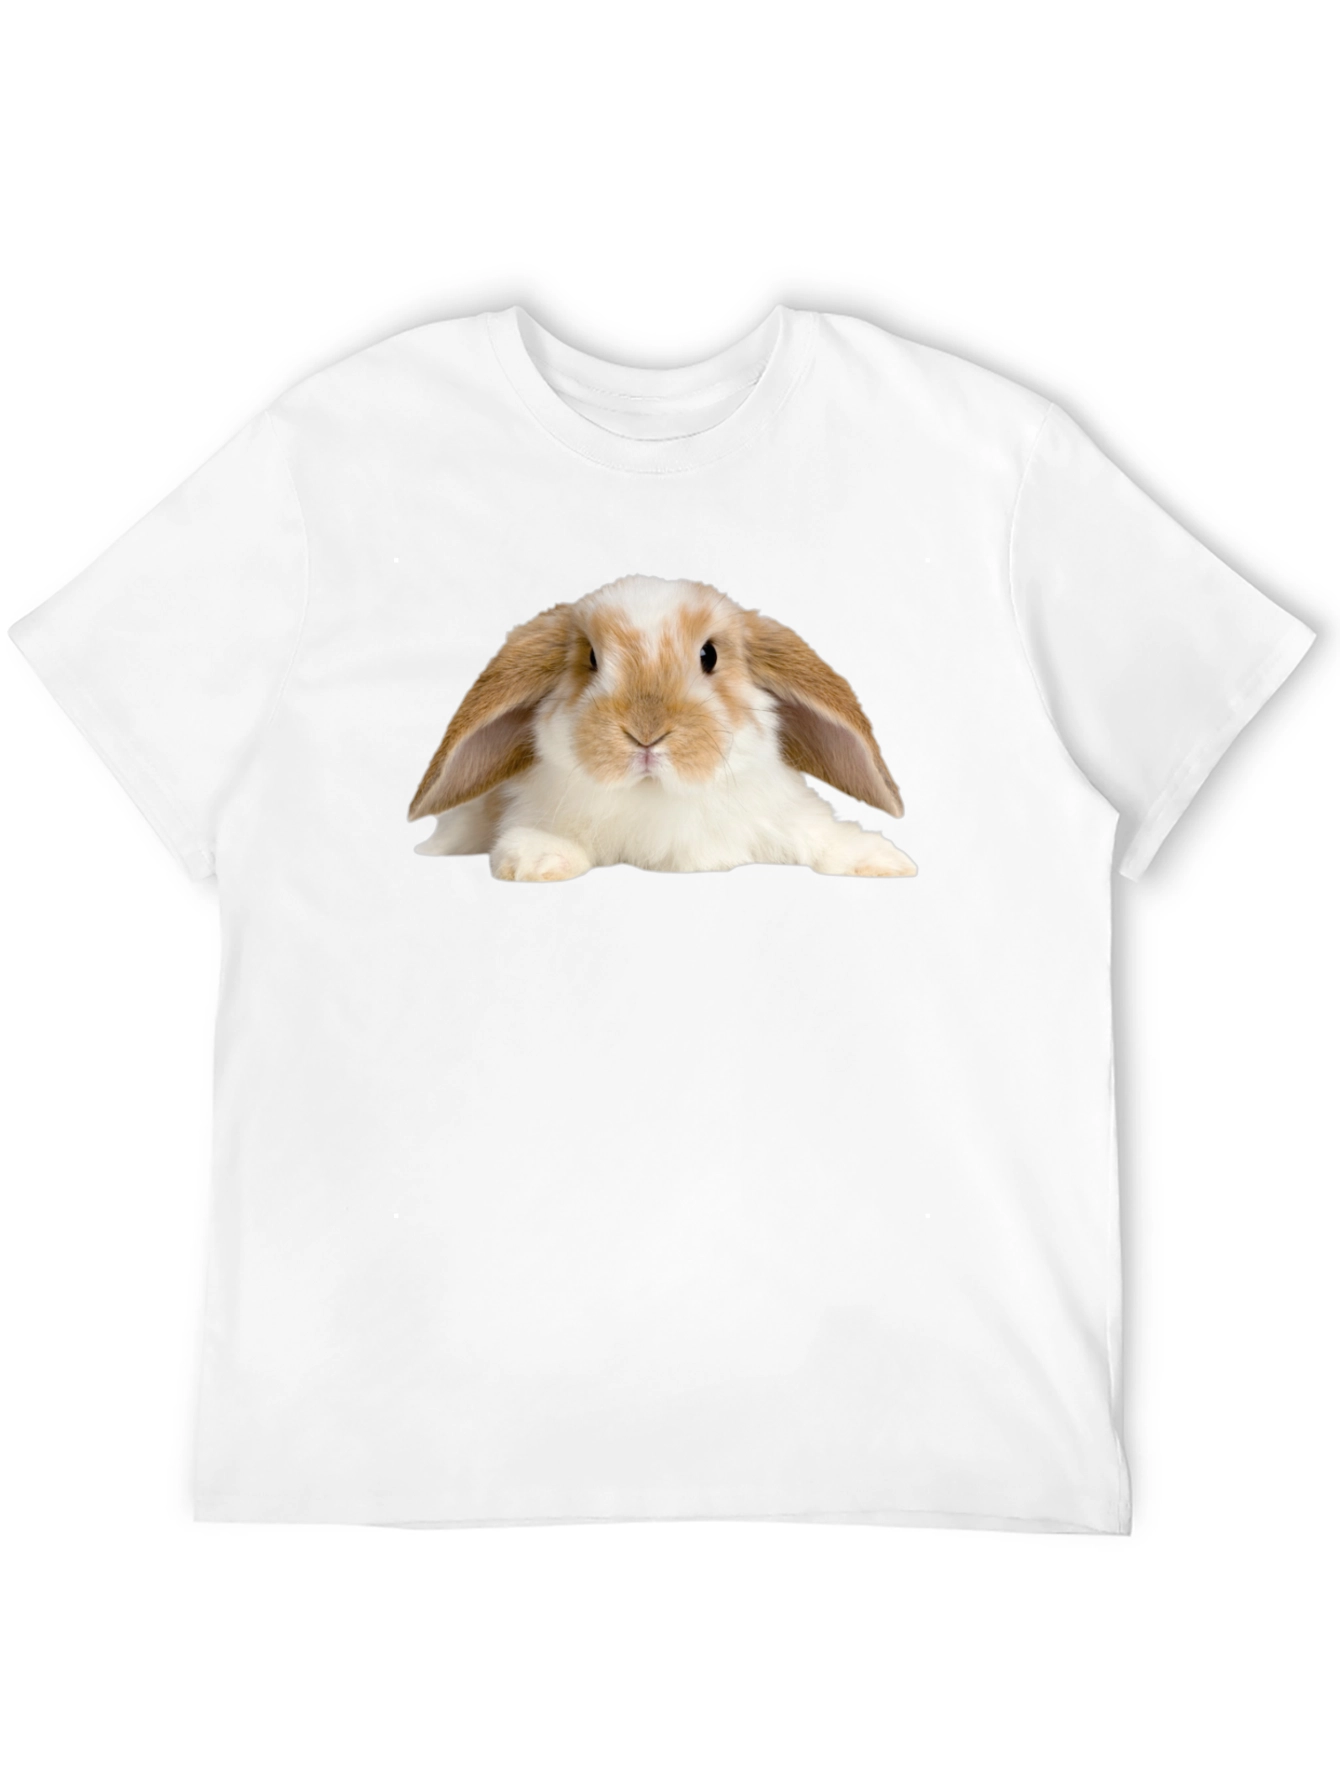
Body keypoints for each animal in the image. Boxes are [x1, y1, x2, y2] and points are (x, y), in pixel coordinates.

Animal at [408, 575, 917, 882]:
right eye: (591, 658)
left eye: (709, 655)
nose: (646, 733)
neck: (656, 795)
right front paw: (538, 859)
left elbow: (820, 836)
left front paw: (884, 861)